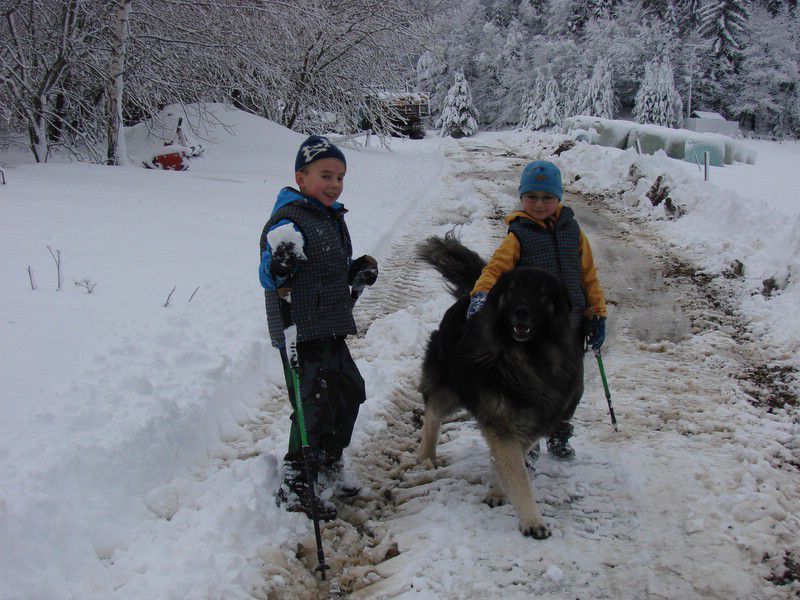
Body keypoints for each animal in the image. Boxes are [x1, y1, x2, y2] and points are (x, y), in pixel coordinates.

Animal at [412, 234, 580, 540]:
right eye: (513, 290)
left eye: (541, 293)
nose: (521, 312)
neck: (528, 358)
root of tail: (470, 295)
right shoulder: (502, 423)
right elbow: (518, 474)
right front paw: (533, 521)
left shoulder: (531, 422)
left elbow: (505, 463)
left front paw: (497, 492)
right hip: (450, 385)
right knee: (432, 413)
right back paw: (426, 456)